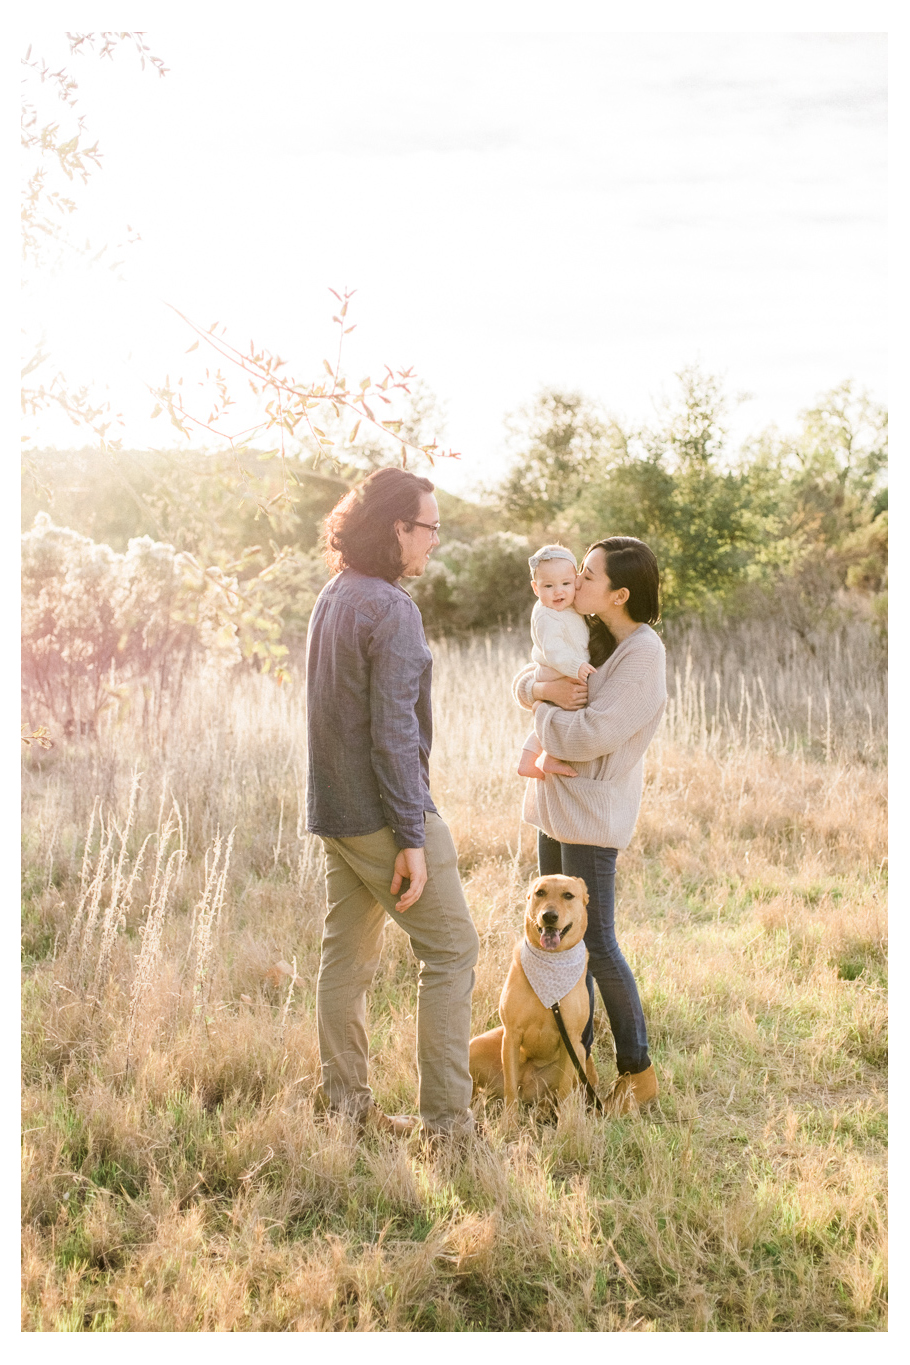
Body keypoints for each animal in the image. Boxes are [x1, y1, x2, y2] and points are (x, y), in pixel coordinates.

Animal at [469, 879, 597, 1113]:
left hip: (580, 1056)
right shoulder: (511, 1035)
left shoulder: (572, 1040)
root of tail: (527, 1087)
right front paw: (508, 1123)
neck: (551, 963)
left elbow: (564, 1093)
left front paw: (564, 1121)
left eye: (568, 895)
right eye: (540, 893)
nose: (549, 916)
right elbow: (510, 1092)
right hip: (476, 1046)